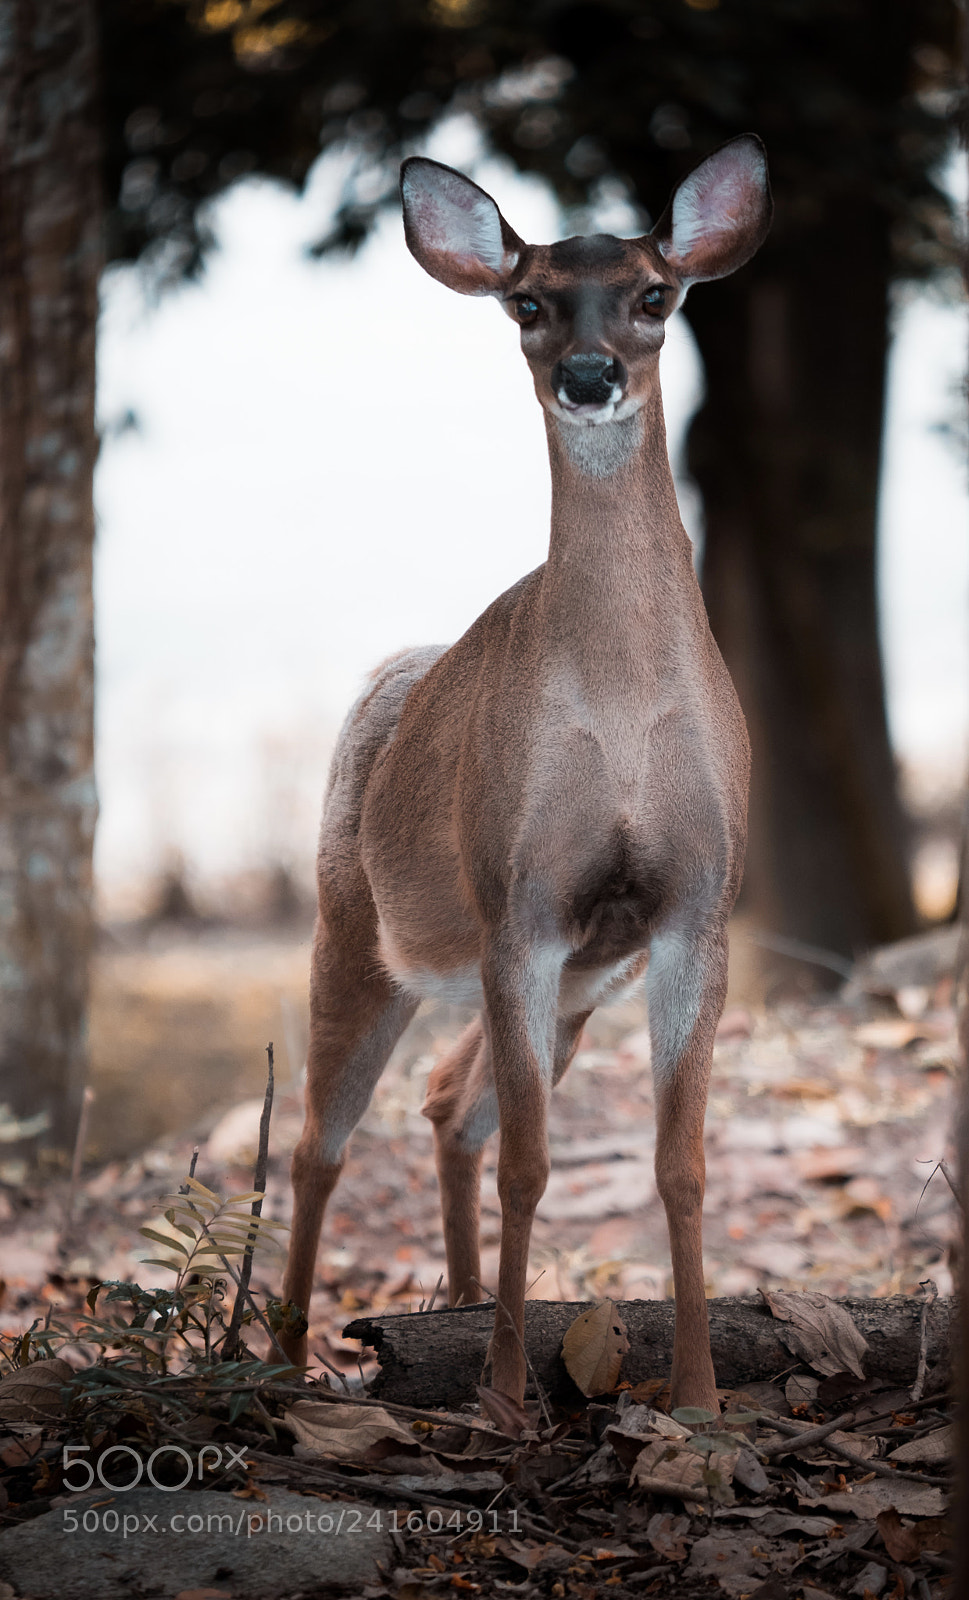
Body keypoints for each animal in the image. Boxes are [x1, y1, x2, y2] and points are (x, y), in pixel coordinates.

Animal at [280, 136, 771, 1415]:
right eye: (529, 303)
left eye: (655, 293)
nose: (590, 376)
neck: (622, 712)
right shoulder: (519, 900)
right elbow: (533, 1166)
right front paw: (505, 1396)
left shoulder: (696, 907)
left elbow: (681, 1164)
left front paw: (698, 1395)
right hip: (354, 927)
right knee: (320, 1142)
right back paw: (279, 1356)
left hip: (588, 980)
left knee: (449, 1105)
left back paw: (448, 1304)